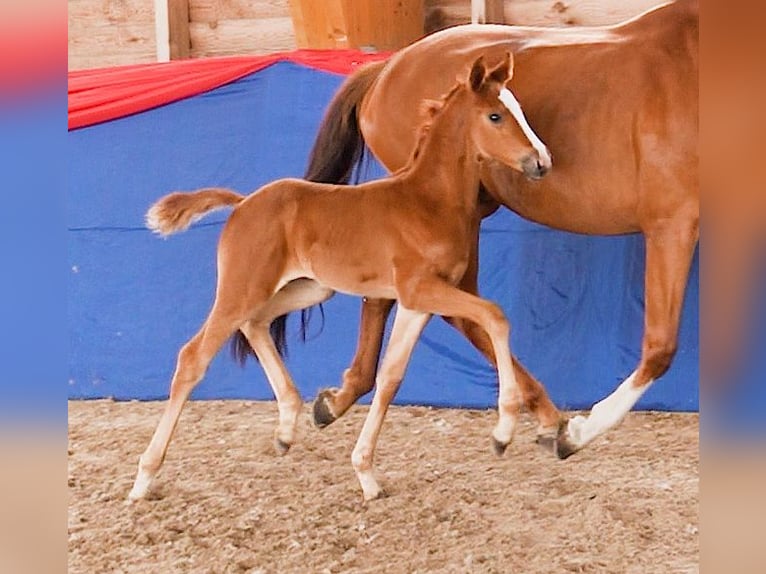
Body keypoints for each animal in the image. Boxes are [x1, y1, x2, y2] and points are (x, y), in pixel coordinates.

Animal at [128, 53, 552, 502]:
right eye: (495, 115)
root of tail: (242, 204)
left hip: (308, 289)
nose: (541, 162)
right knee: (194, 356)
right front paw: (503, 431)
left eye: (519, 109)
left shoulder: (417, 302)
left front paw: (366, 474)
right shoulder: (421, 288)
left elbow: (390, 377)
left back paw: (286, 427)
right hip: (243, 287)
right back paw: (144, 478)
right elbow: (495, 315)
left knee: (255, 324)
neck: (428, 202)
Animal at [293, 0, 698, 458]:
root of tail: (387, 69)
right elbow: (661, 345)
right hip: (454, 215)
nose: (542, 160)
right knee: (446, 307)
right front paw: (578, 433)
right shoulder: (672, 222)